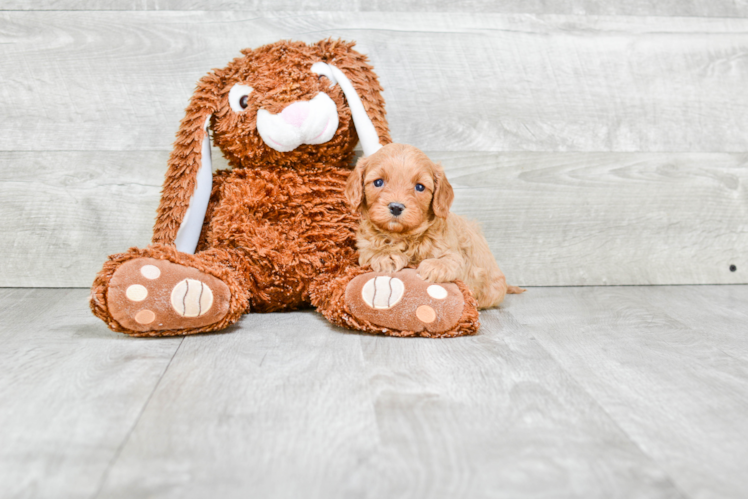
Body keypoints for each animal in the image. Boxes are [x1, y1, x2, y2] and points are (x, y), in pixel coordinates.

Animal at [346, 143, 524, 308]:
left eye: (419, 187)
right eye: (378, 182)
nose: (396, 207)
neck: (404, 237)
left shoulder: (455, 254)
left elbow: (452, 261)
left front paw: (434, 266)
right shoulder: (364, 247)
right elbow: (371, 251)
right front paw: (386, 255)